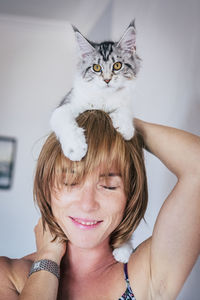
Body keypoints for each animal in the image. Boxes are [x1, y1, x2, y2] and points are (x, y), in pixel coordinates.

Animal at [50, 19, 141, 162]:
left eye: (117, 65)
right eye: (96, 68)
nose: (107, 80)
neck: (104, 97)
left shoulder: (124, 101)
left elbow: (125, 110)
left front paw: (126, 127)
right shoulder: (65, 105)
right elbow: (65, 122)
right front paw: (75, 148)